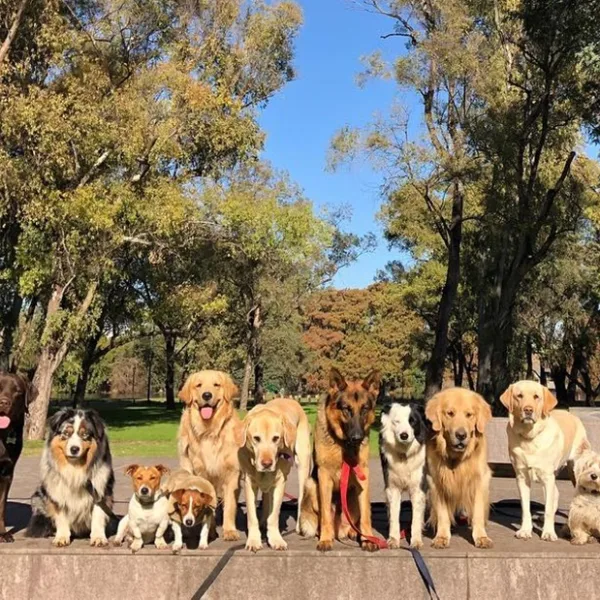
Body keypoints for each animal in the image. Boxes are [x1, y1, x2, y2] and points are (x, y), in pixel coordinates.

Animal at [178, 368, 241, 540]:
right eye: (199, 385)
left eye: (216, 385)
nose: (207, 395)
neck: (210, 431)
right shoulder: (202, 474)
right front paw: (211, 531)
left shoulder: (232, 474)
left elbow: (230, 506)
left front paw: (229, 531)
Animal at [424, 390, 494, 548]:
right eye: (450, 413)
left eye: (469, 414)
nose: (461, 435)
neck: (456, 458)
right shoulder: (436, 482)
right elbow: (442, 513)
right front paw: (442, 537)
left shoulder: (480, 480)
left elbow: (478, 512)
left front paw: (481, 537)